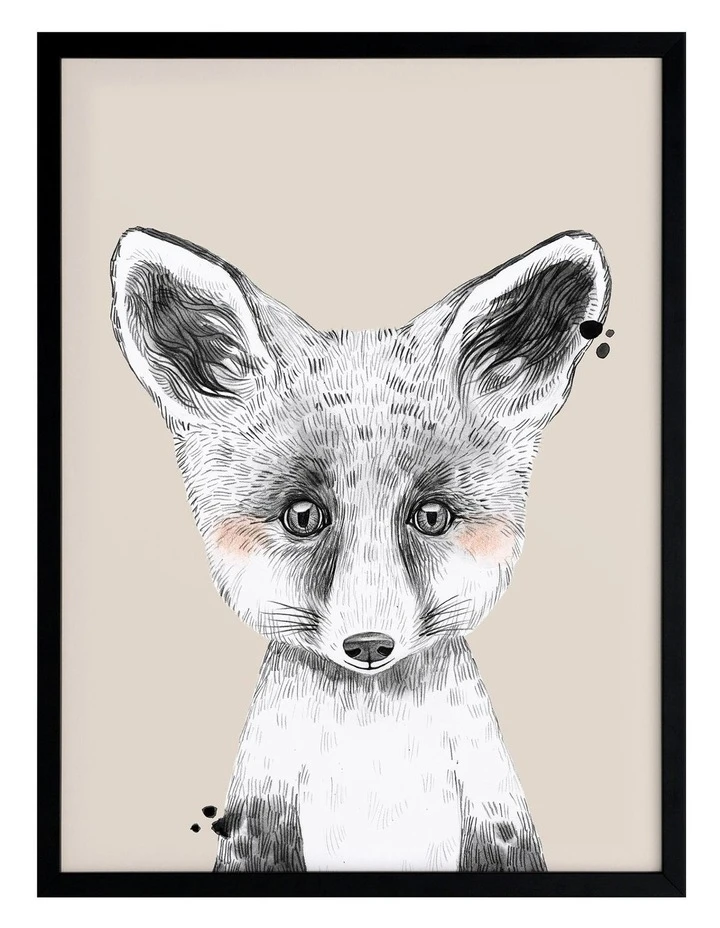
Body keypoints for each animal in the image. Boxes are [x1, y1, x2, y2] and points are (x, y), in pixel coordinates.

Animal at [111, 227, 610, 872]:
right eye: (303, 517)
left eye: (431, 517)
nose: (369, 645)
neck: (375, 772)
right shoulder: (259, 823)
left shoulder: (498, 820)